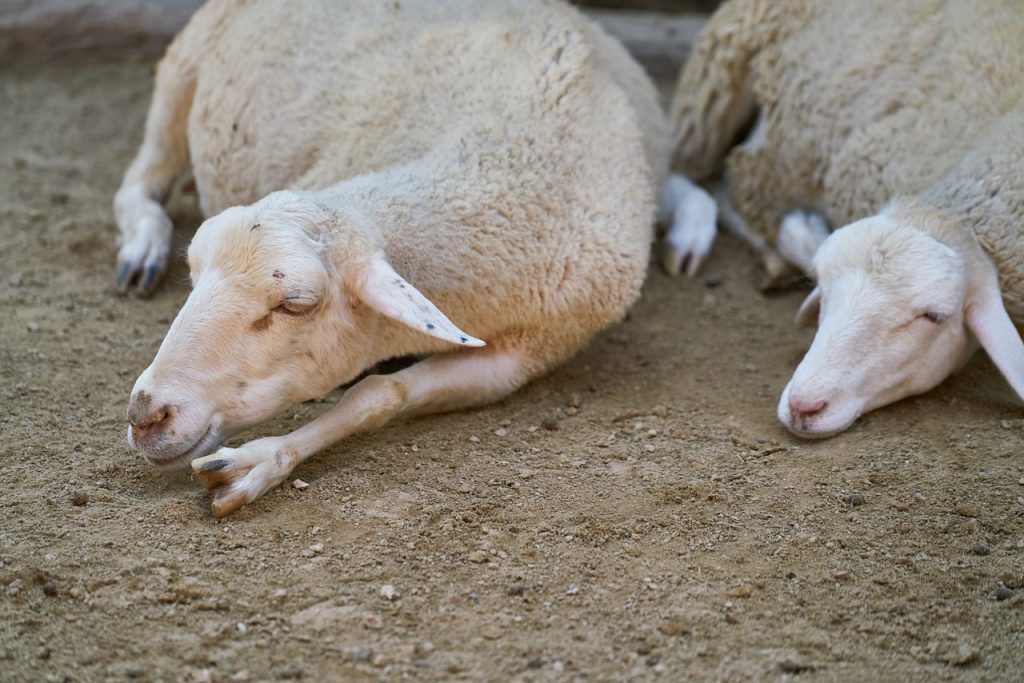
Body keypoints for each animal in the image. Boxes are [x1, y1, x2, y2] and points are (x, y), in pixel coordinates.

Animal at [116, 0, 667, 516]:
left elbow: (381, 394)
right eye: (194, 273)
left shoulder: (526, 356)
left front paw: (260, 461)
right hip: (181, 66)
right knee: (141, 179)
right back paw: (141, 249)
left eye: (295, 304)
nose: (146, 415)